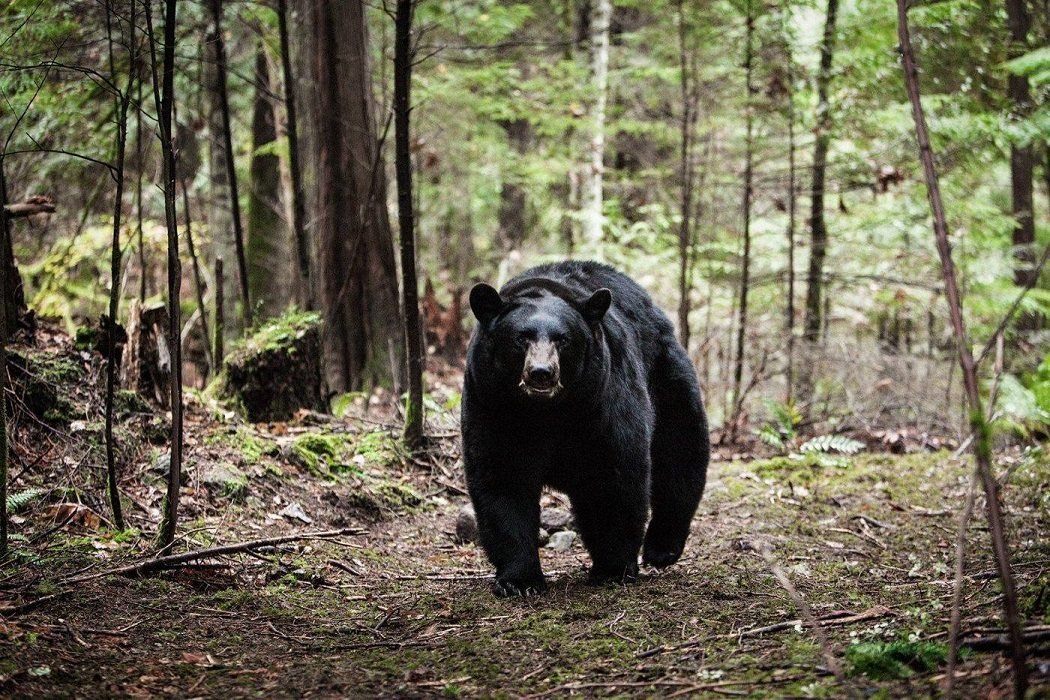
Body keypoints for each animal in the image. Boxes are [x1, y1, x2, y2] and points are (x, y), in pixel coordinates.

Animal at [464, 262, 709, 596]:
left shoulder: (600, 403)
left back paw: (662, 548)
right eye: (521, 338)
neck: (545, 413)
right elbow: (503, 480)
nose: (541, 373)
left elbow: (613, 476)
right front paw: (519, 580)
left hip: (665, 374)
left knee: (680, 451)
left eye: (563, 339)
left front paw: (612, 568)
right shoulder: (492, 405)